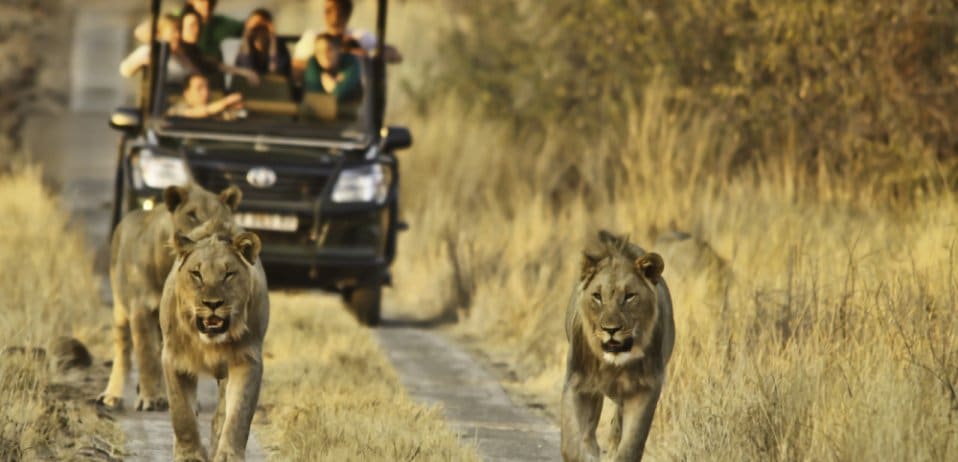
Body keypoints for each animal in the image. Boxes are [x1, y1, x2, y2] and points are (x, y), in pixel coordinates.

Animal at [96, 184, 241, 411]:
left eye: (221, 215)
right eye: (191, 215)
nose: (213, 234)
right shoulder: (141, 309)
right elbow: (146, 356)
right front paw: (151, 399)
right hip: (120, 308)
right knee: (123, 351)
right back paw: (112, 396)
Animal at [159, 221, 269, 462]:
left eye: (228, 274)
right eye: (196, 274)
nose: (212, 303)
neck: (211, 342)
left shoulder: (248, 360)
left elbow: (238, 414)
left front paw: (228, 455)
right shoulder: (174, 358)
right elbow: (182, 414)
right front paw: (189, 455)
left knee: (221, 414)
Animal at [561, 230, 675, 462]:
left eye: (630, 296)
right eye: (597, 296)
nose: (610, 329)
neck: (614, 364)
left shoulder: (646, 388)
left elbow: (630, 446)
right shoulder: (576, 381)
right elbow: (572, 444)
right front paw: (585, 453)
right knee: (589, 432)